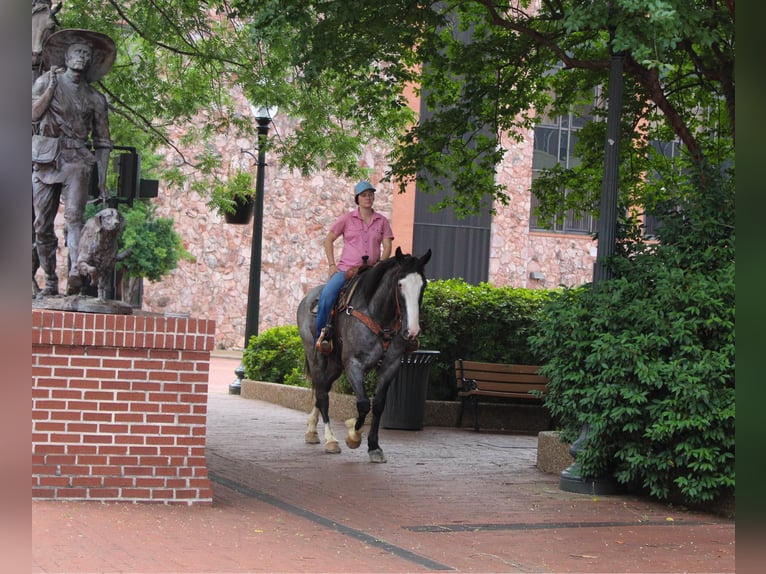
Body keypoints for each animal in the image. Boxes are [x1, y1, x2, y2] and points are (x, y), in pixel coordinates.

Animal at [297, 247, 432, 463]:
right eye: (400, 284)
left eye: (423, 285)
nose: (411, 331)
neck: (379, 317)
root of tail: (307, 298)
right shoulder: (353, 363)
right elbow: (362, 403)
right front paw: (353, 435)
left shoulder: (391, 365)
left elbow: (378, 405)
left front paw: (374, 446)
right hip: (315, 355)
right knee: (322, 394)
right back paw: (330, 440)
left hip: (335, 364)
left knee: (322, 388)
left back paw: (311, 430)